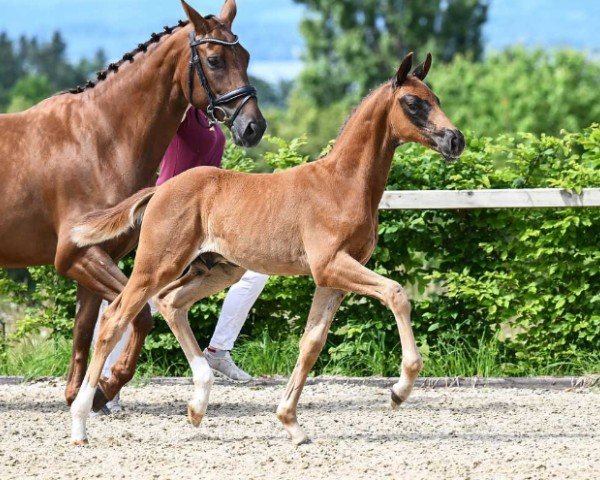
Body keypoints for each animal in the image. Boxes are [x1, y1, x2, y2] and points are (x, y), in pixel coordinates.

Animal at [69, 50, 464, 444]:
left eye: (437, 99)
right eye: (413, 103)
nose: (455, 140)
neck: (343, 184)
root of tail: (159, 189)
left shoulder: (331, 279)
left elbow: (311, 343)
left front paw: (291, 422)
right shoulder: (331, 265)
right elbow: (396, 293)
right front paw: (400, 389)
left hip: (219, 269)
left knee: (171, 303)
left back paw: (197, 405)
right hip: (157, 264)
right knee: (116, 318)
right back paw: (80, 422)